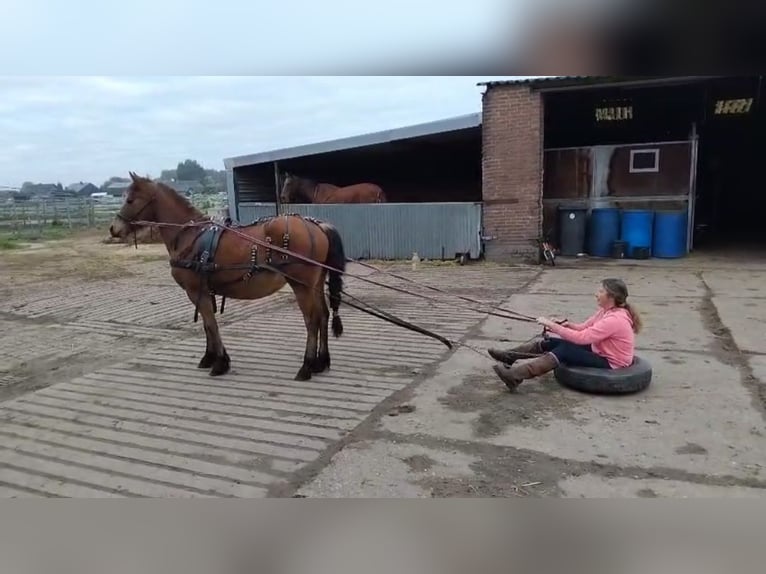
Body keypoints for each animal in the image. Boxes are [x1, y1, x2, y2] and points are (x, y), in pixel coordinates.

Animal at [108, 172, 347, 381]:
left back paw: (306, 366)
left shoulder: (196, 291)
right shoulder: (202, 292)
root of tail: (317, 225)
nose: (113, 229)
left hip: (302, 286)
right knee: (324, 315)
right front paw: (209, 357)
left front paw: (220, 363)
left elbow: (211, 324)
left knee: (312, 321)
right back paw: (321, 362)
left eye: (130, 199)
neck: (190, 235)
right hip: (316, 284)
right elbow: (207, 325)